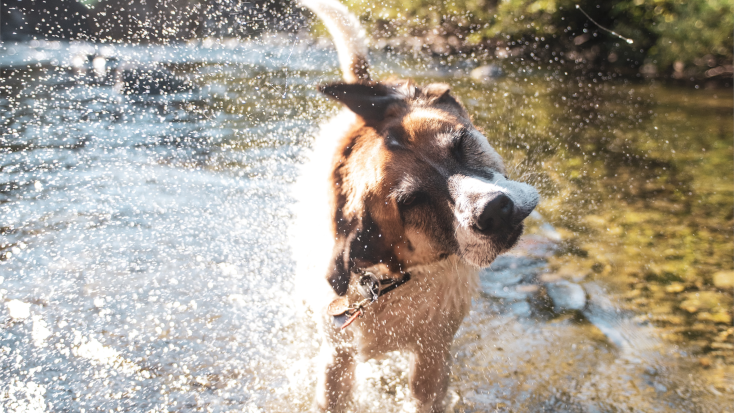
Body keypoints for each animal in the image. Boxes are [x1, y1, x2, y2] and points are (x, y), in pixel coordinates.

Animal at [292, 1, 540, 410]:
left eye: (461, 143)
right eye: (412, 201)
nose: (493, 210)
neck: (388, 279)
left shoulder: (432, 357)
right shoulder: (337, 359)